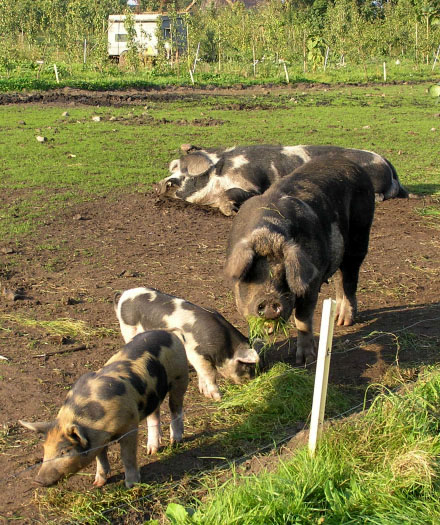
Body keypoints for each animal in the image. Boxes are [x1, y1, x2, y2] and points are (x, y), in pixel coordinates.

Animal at [19, 332, 187, 488]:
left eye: (64, 451)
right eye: (45, 448)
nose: (38, 481)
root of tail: (167, 333)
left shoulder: (129, 425)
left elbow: (127, 456)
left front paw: (131, 484)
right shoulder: (98, 437)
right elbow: (100, 456)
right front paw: (98, 483)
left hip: (180, 377)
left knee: (175, 407)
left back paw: (175, 441)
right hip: (153, 395)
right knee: (154, 415)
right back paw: (151, 451)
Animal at [113, 286, 260, 402]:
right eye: (247, 366)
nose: (253, 379)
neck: (225, 348)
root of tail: (124, 293)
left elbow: (202, 373)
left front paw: (205, 393)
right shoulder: (196, 353)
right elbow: (210, 374)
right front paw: (219, 398)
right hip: (128, 328)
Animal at [156, 142, 408, 214]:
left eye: (185, 175)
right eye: (174, 169)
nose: (160, 184)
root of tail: (386, 161)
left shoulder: (251, 184)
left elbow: (232, 195)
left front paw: (232, 211)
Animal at [225, 154, 376, 362]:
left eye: (285, 274)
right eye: (250, 275)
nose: (270, 301)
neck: (268, 236)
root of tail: (353, 165)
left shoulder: (311, 283)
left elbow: (302, 320)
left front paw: (305, 360)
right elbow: (254, 328)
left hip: (360, 237)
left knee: (349, 279)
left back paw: (344, 322)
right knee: (340, 278)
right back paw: (338, 319)